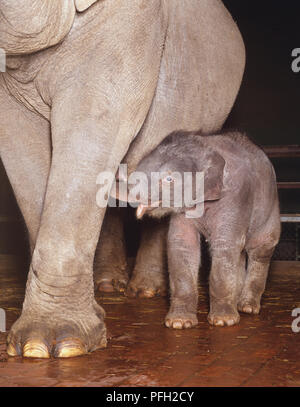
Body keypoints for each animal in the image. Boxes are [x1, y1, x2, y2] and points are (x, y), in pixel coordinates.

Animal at [0, 0, 244, 358]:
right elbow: (20, 144)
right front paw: (38, 346)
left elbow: (91, 122)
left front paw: (55, 344)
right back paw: (106, 287)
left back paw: (144, 291)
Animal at [132, 132, 280, 330]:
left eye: (169, 179)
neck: (205, 148)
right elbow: (182, 244)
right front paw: (179, 323)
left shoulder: (235, 196)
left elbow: (224, 244)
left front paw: (223, 321)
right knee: (240, 253)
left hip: (271, 208)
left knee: (260, 250)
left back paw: (247, 307)